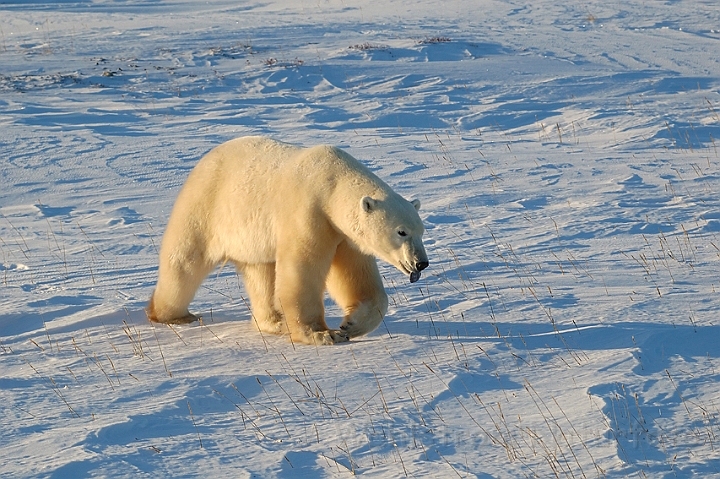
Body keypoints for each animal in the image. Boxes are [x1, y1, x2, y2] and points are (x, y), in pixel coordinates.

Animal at [148, 135, 428, 344]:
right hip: (206, 206)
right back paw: (173, 315)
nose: (421, 263)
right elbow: (302, 270)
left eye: (422, 230)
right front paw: (321, 334)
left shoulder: (343, 234)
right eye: (401, 231)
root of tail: (206, 158)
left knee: (260, 273)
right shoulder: (309, 211)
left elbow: (357, 277)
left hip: (251, 238)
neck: (332, 183)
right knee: (184, 260)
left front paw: (351, 325)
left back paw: (275, 322)